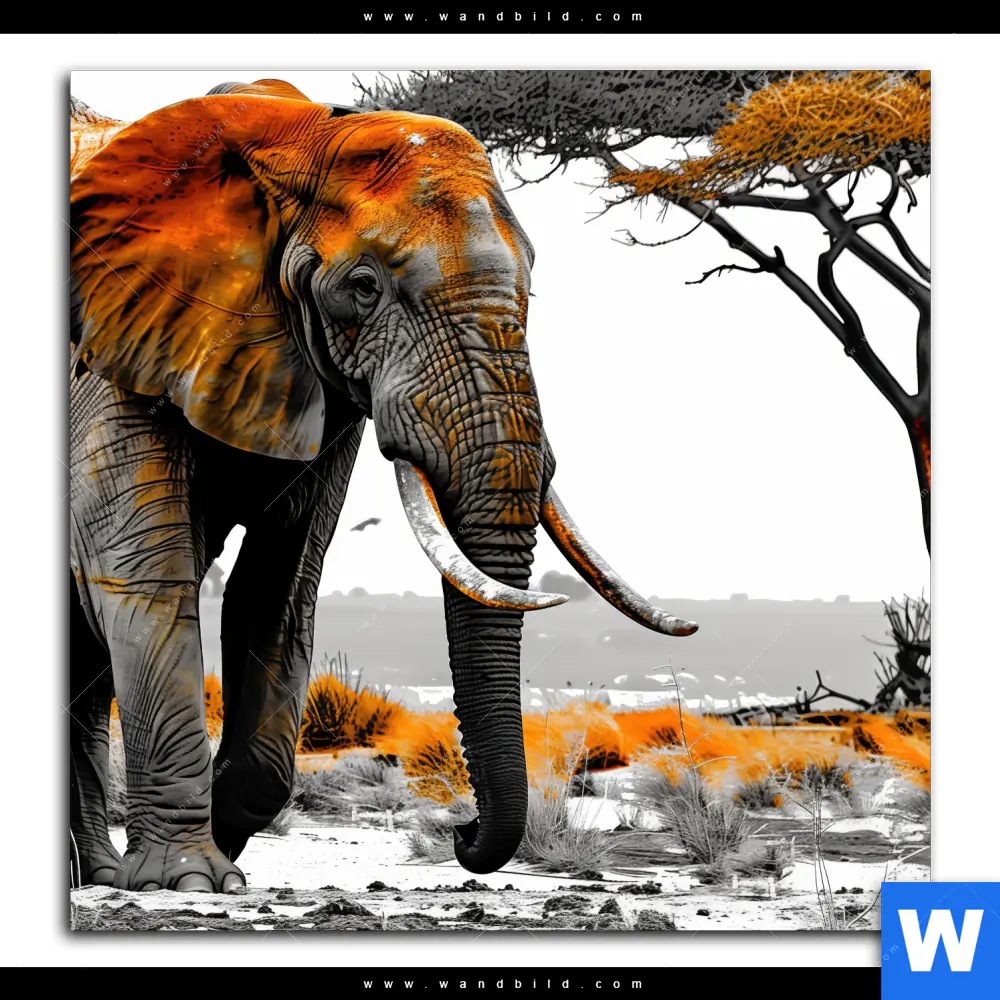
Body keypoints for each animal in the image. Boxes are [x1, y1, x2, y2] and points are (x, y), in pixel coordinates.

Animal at [68, 79, 698, 892]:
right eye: (363, 288)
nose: (461, 832)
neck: (295, 135)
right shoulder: (117, 345)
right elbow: (143, 577)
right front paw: (191, 879)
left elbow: (279, 589)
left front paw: (225, 837)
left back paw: (97, 876)